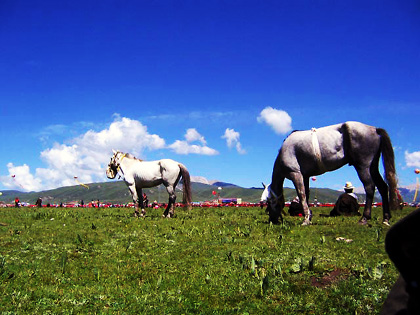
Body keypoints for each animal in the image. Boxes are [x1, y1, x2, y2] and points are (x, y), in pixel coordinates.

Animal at [264, 121, 398, 227]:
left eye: (269, 202)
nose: (272, 220)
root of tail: (374, 129)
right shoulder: (305, 176)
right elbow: (306, 195)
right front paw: (309, 216)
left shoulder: (295, 174)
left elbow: (301, 195)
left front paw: (306, 219)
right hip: (372, 167)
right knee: (382, 187)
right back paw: (386, 218)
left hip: (363, 166)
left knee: (370, 187)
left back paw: (364, 218)